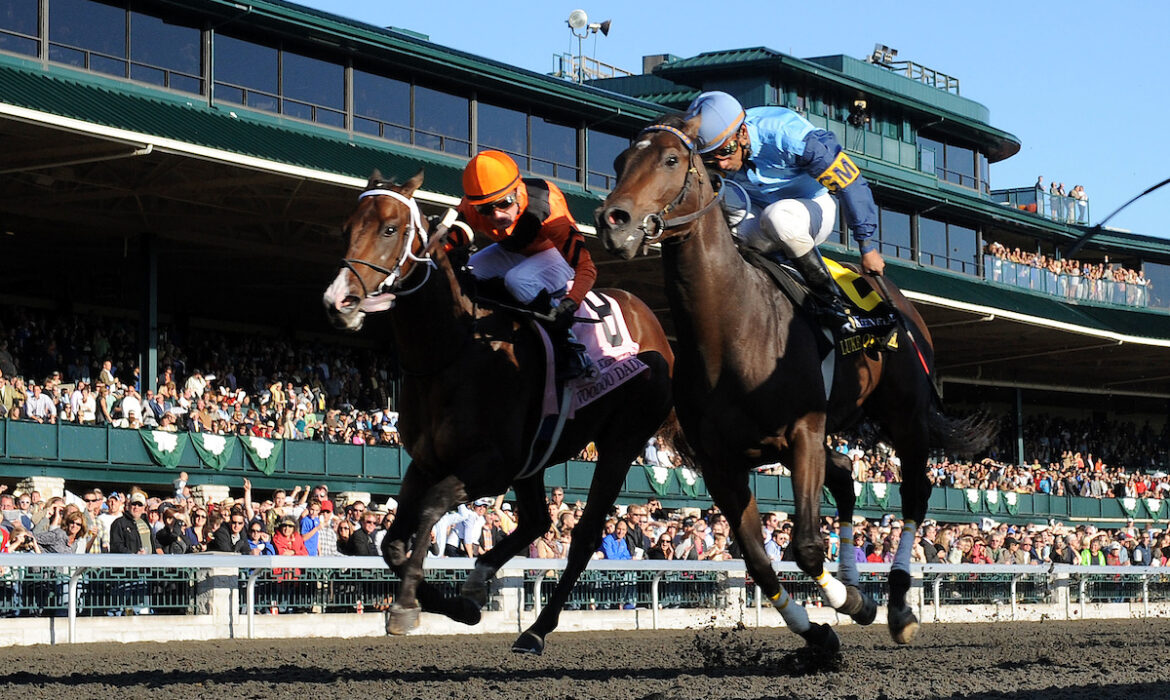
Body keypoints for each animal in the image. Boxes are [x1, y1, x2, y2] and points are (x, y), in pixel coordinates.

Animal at [322, 170, 678, 660]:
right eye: (345, 229)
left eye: (390, 229)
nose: (339, 301)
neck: (453, 349)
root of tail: (655, 325)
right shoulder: (426, 462)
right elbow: (392, 543)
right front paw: (454, 605)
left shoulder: (491, 466)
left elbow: (432, 507)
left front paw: (408, 604)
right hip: (535, 458)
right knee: (539, 520)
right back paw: (478, 581)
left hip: (621, 442)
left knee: (583, 537)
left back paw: (536, 629)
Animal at [599, 116, 992, 650]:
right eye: (620, 160)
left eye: (670, 159)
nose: (613, 221)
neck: (732, 328)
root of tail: (904, 305)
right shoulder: (722, 462)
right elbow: (759, 562)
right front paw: (821, 631)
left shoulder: (803, 432)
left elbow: (804, 547)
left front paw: (851, 602)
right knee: (845, 474)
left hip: (904, 414)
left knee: (914, 492)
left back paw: (896, 605)